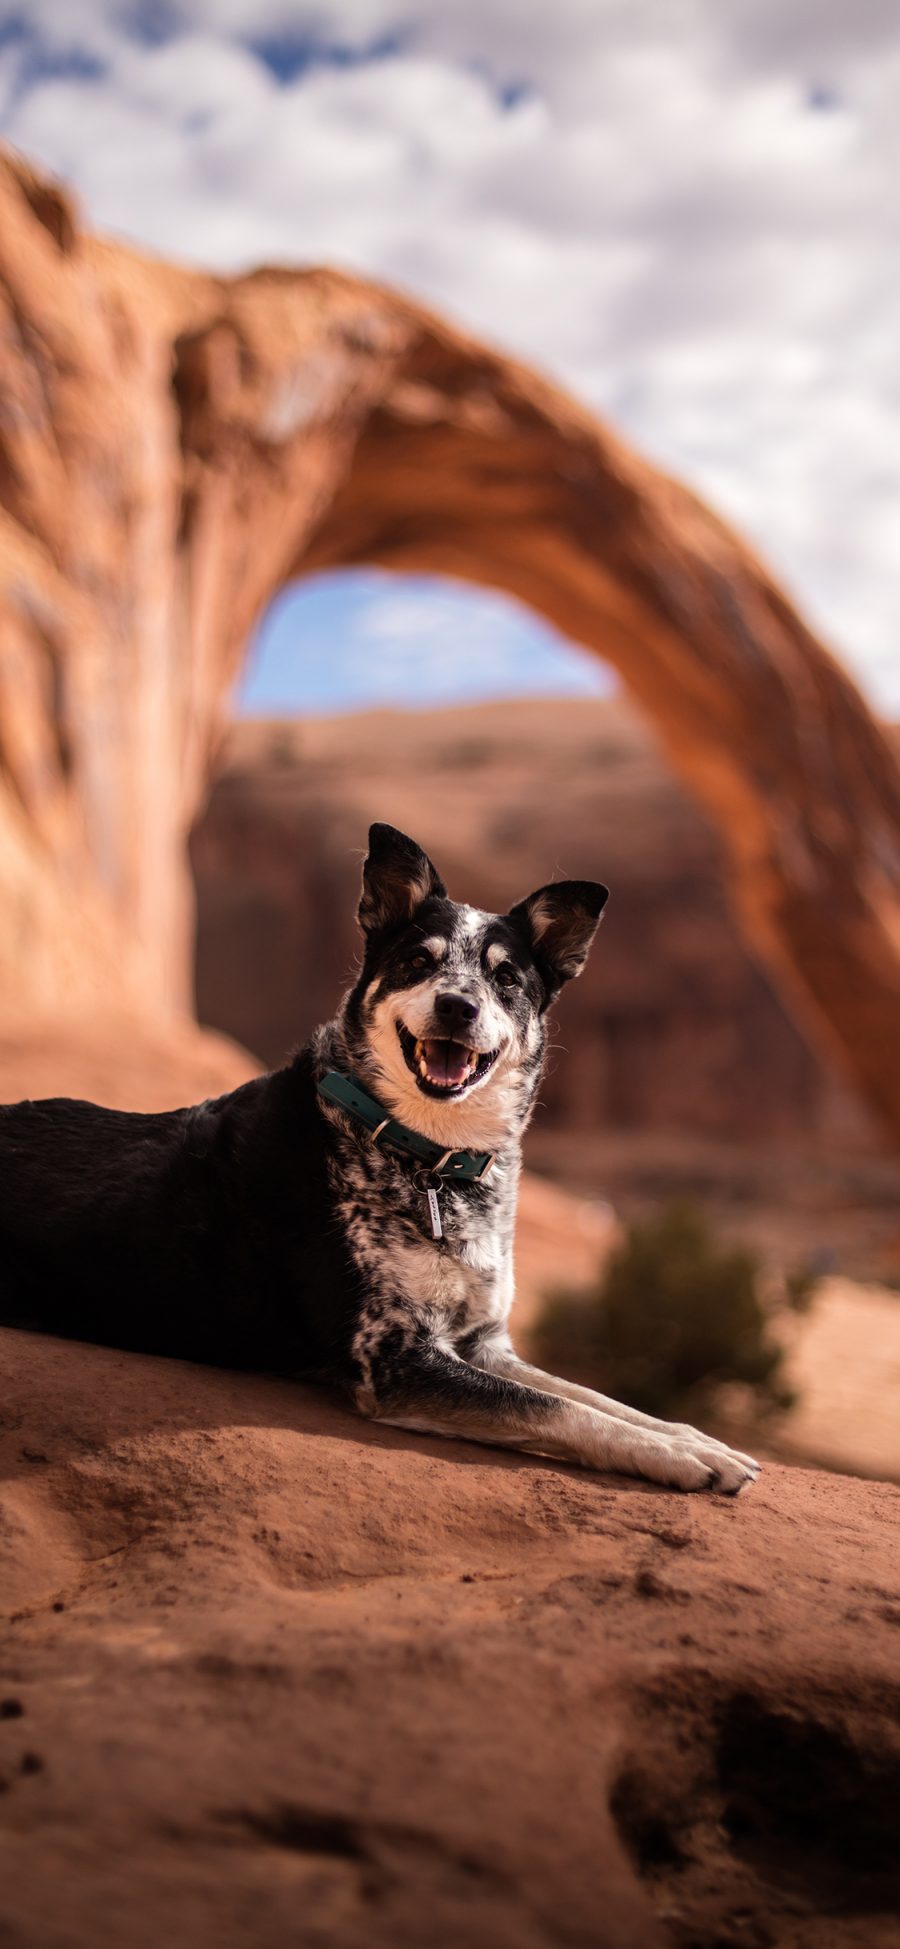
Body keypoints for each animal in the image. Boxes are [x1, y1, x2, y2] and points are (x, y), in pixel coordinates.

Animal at [0, 822, 759, 1489]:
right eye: (419, 961)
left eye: (508, 979)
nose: (456, 1006)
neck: (426, 1155)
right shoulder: (392, 1357)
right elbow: (563, 1411)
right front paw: (680, 1458)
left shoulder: (484, 1342)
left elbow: (596, 1397)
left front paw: (695, 1437)